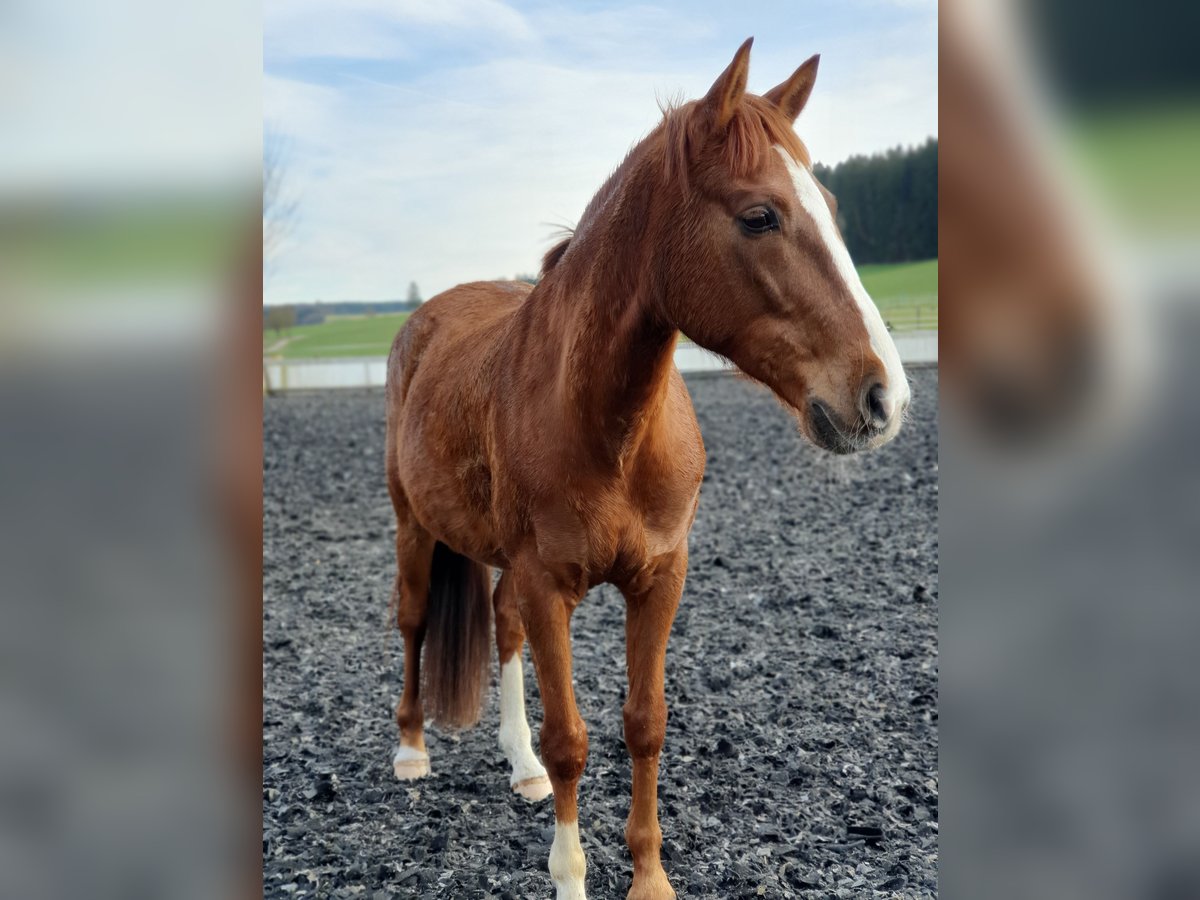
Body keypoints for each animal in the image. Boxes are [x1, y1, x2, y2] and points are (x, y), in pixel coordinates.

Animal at [384, 38, 907, 897]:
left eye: (830, 208)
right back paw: (411, 751)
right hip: (412, 527)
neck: (608, 431)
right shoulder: (548, 585)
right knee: (414, 621)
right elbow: (572, 738)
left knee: (500, 625)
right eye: (759, 215)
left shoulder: (660, 577)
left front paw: (649, 876)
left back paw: (519, 767)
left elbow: (645, 724)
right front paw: (569, 877)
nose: (884, 396)